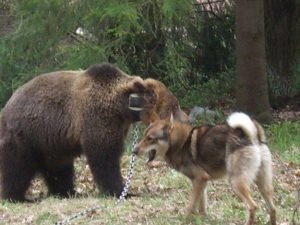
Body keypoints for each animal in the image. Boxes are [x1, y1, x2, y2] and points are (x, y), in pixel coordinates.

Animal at [0, 62, 186, 201]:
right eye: (175, 105)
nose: (186, 119)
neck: (122, 108)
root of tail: (7, 106)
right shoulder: (98, 118)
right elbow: (105, 157)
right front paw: (122, 191)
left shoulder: (118, 123)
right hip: (26, 134)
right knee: (18, 167)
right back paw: (15, 196)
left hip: (51, 142)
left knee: (59, 167)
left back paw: (68, 192)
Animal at [134, 112, 276, 225]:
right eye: (144, 136)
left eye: (150, 139)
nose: (133, 151)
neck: (179, 143)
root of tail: (252, 137)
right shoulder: (202, 182)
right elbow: (201, 206)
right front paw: (202, 219)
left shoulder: (200, 179)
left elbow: (191, 206)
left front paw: (185, 220)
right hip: (263, 185)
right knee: (273, 208)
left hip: (236, 183)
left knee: (253, 207)